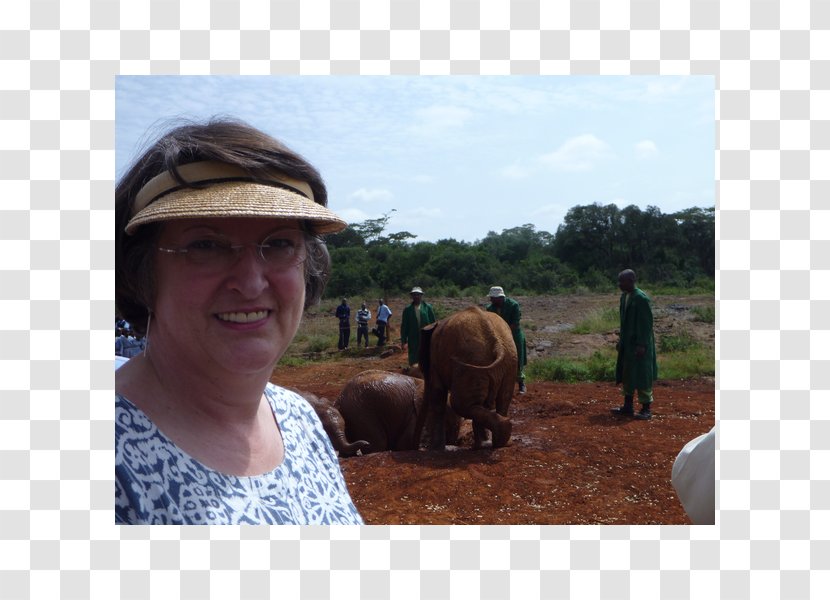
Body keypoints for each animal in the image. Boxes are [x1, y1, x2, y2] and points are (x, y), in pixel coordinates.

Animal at [334, 370, 462, 454]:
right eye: (452, 426)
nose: (455, 441)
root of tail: (339, 400)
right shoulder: (418, 413)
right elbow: (406, 443)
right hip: (362, 412)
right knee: (378, 443)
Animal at [416, 304, 520, 450]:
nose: (418, 446)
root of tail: (498, 345)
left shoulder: (435, 362)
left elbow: (437, 396)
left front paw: (435, 449)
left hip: (474, 363)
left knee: (460, 403)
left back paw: (500, 435)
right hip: (508, 363)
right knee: (500, 400)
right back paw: (497, 442)